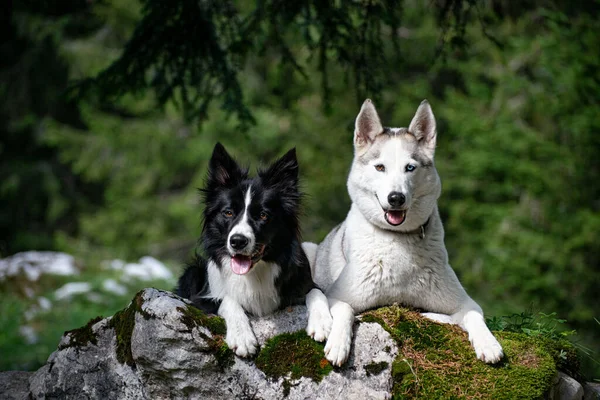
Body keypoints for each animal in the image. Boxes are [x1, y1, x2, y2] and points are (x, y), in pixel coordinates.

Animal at [302, 99, 504, 366]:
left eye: (410, 167)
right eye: (380, 167)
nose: (396, 198)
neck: (397, 239)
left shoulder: (463, 302)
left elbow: (474, 315)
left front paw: (488, 344)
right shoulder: (338, 296)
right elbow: (344, 309)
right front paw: (338, 344)